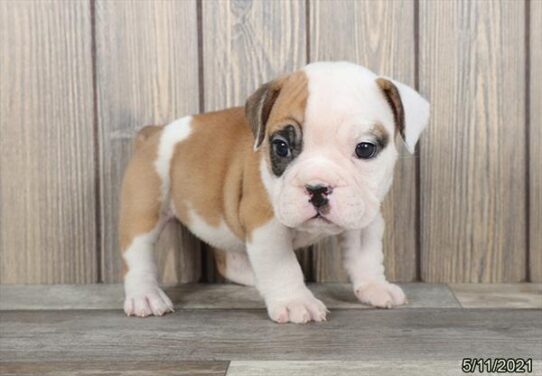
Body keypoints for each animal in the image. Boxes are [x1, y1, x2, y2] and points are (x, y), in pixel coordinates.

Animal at [121, 61, 432, 324]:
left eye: (365, 148)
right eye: (281, 146)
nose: (317, 186)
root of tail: (153, 133)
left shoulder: (365, 218)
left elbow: (366, 256)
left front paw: (375, 287)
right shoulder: (265, 224)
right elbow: (283, 266)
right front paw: (296, 302)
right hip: (143, 210)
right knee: (137, 255)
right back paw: (145, 296)